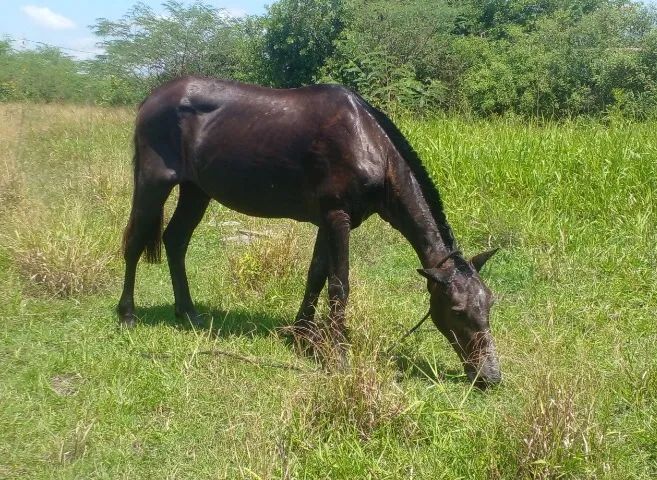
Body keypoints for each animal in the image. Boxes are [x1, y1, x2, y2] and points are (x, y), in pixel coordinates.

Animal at [117, 76, 501, 386]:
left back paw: (188, 312)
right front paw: (339, 355)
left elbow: (316, 274)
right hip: (153, 183)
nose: (490, 376)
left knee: (176, 240)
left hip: (196, 191)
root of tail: (152, 98)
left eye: (489, 303)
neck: (367, 143)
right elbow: (339, 285)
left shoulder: (328, 220)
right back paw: (127, 314)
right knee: (134, 242)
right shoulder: (336, 217)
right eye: (456, 310)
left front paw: (301, 334)